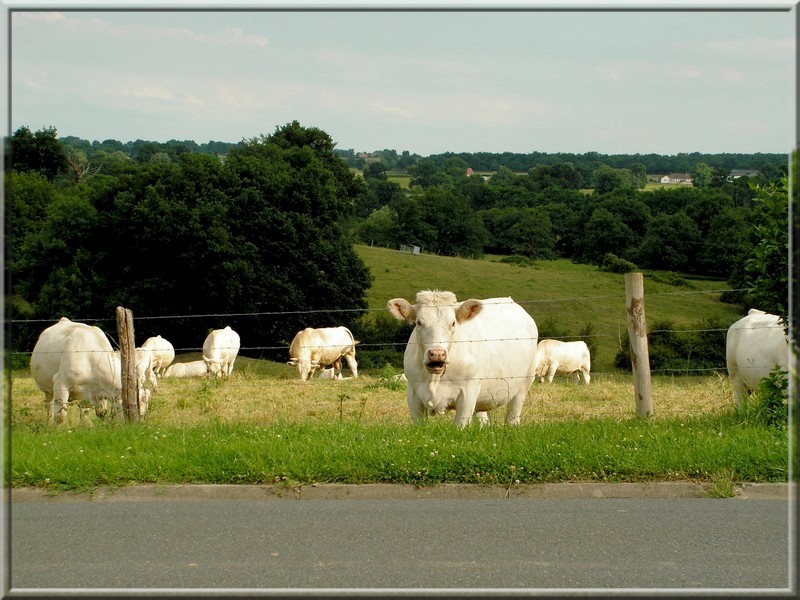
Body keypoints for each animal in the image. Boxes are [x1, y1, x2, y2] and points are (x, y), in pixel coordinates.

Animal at [388, 290, 536, 426]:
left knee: (513, 417)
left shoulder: (468, 394)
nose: (437, 353)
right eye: (419, 322)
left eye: (453, 323)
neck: (434, 379)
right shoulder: (413, 394)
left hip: (524, 383)